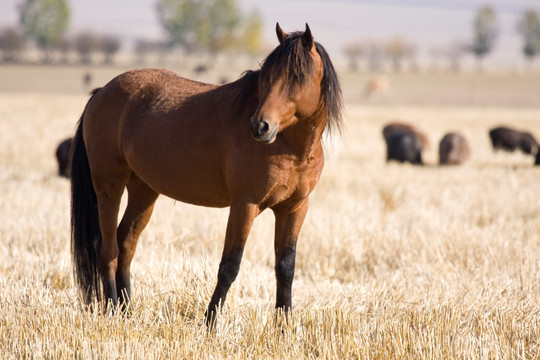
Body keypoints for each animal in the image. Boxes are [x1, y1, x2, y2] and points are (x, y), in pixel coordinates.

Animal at [70, 23, 342, 324]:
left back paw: (128, 311)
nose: (260, 126)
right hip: (109, 185)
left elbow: (286, 268)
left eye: (297, 76)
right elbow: (230, 266)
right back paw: (113, 310)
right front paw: (210, 322)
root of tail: (101, 92)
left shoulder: (294, 208)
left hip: (144, 191)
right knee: (108, 250)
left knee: (126, 243)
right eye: (269, 75)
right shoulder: (244, 205)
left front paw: (283, 325)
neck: (291, 148)